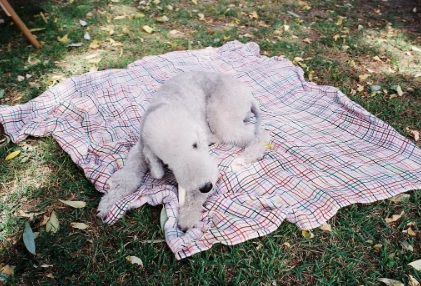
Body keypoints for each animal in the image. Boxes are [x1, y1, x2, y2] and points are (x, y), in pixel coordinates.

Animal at [98, 71, 270, 230]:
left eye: (195, 145)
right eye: (168, 162)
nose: (206, 187)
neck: (165, 105)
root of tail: (247, 92)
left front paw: (188, 215)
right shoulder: (141, 147)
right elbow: (129, 175)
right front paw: (108, 202)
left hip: (221, 113)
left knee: (255, 132)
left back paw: (251, 154)